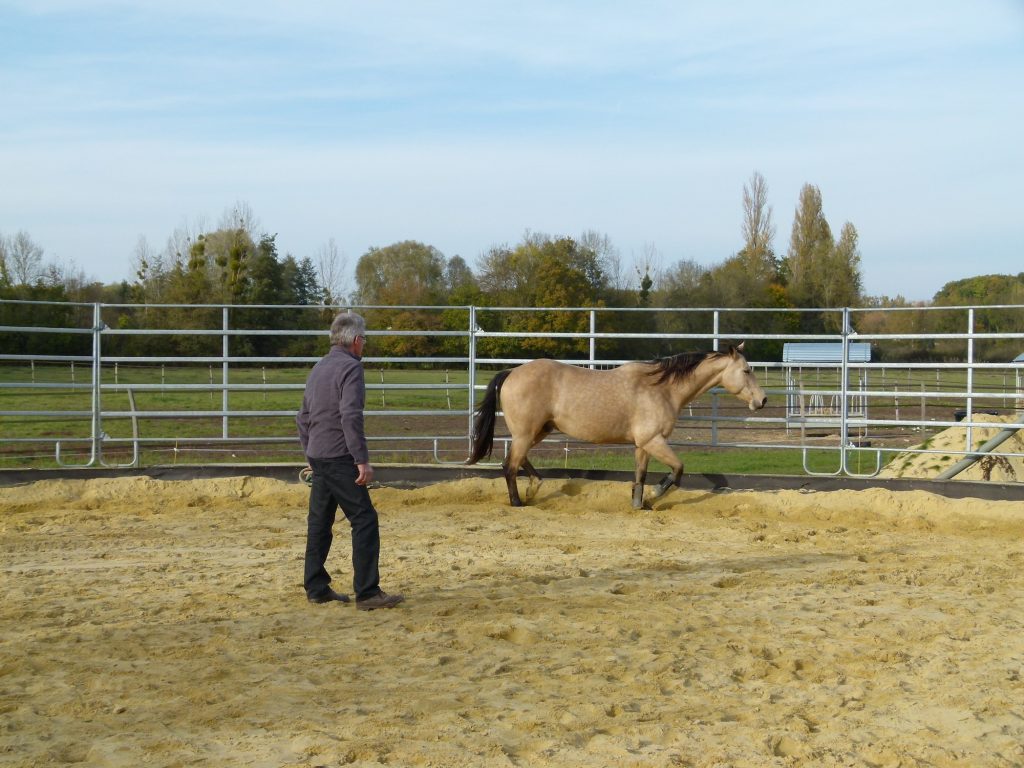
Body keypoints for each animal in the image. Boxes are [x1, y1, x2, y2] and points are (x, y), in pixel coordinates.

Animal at [467, 343, 767, 508]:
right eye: (746, 370)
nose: (762, 400)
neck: (662, 388)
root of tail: (512, 372)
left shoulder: (643, 444)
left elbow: (640, 476)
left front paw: (640, 503)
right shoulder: (654, 441)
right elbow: (678, 470)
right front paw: (655, 494)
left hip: (538, 431)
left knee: (517, 462)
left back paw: (533, 488)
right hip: (526, 433)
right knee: (510, 466)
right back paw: (518, 502)